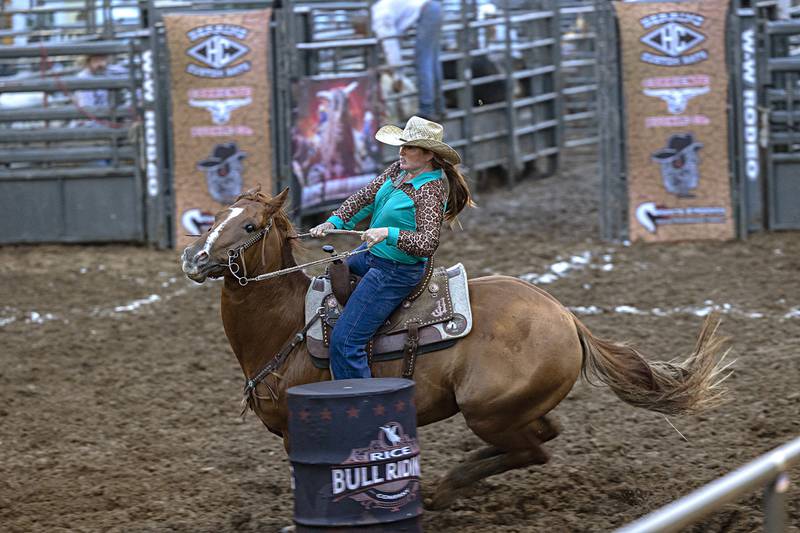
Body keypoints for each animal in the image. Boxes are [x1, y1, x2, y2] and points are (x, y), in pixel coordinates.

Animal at [181, 187, 732, 508]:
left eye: (249, 227)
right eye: (215, 215)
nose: (193, 257)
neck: (289, 324)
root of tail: (565, 316)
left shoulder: (300, 434)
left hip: (486, 410)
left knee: (532, 450)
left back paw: (445, 487)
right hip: (510, 409)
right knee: (542, 436)